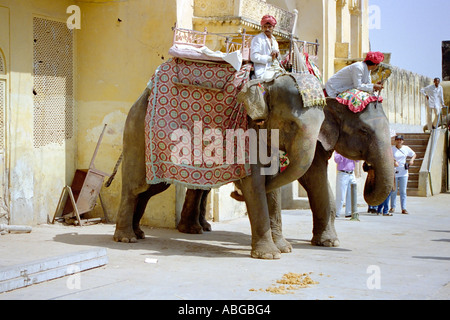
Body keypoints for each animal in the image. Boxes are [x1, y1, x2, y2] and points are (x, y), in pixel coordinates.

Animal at [114, 73, 326, 260]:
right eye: (291, 123)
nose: (234, 192)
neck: (267, 83)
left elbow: (272, 187)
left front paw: (284, 249)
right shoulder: (246, 136)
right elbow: (255, 185)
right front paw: (269, 255)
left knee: (149, 189)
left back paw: (138, 233)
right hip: (137, 134)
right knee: (135, 186)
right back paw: (126, 238)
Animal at [179, 97, 394, 250]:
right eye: (364, 131)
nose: (367, 167)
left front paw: (329, 242)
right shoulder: (312, 142)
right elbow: (314, 179)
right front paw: (329, 242)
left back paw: (203, 227)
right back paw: (192, 230)